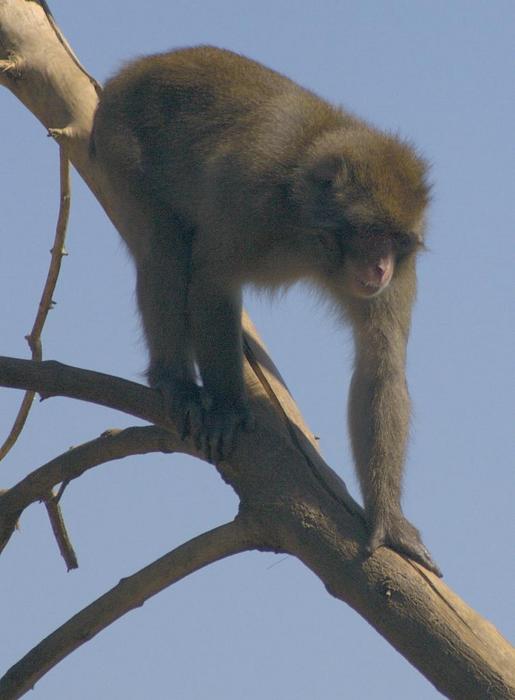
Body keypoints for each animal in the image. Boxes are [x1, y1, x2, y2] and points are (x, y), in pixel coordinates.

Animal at [90, 46, 441, 576]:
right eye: (370, 232)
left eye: (397, 241)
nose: (380, 267)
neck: (310, 236)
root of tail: (137, 68)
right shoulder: (248, 199)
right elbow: (212, 279)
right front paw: (227, 408)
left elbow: (381, 361)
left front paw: (389, 519)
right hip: (119, 142)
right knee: (166, 247)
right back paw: (175, 381)